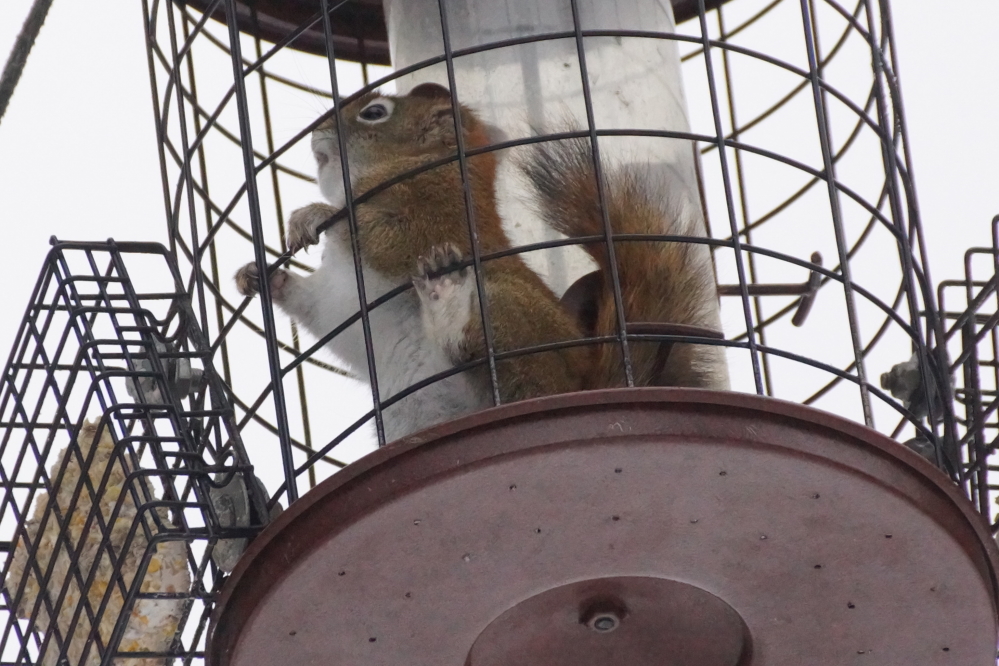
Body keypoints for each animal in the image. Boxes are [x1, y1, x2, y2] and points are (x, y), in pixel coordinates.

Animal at [235, 83, 728, 444]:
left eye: (374, 112)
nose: (314, 132)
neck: (417, 164)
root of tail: (584, 388)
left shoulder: (435, 216)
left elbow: (384, 237)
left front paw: (313, 214)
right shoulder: (340, 300)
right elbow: (318, 309)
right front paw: (260, 275)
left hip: (506, 310)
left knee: (482, 356)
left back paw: (447, 304)